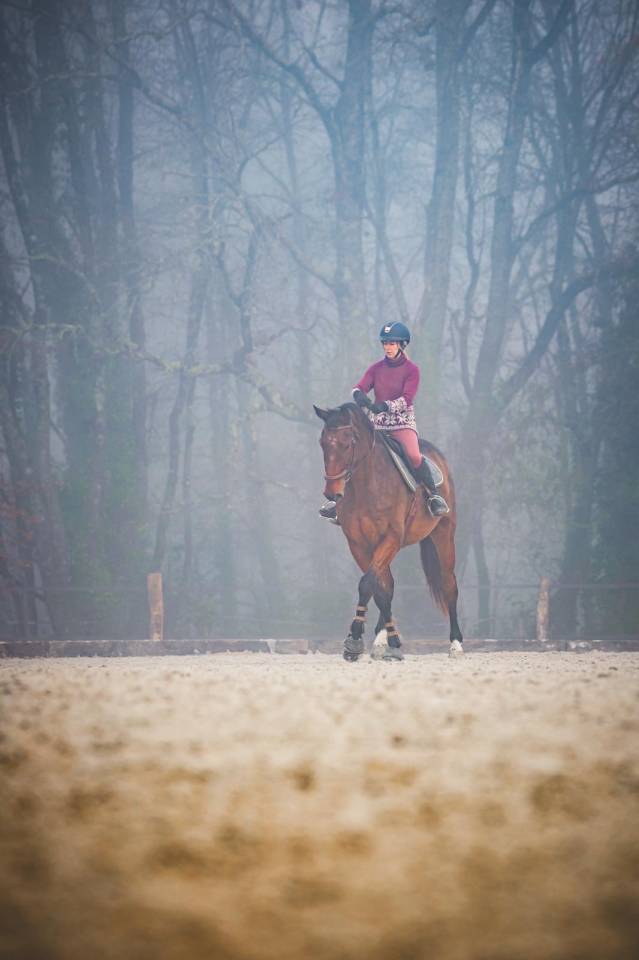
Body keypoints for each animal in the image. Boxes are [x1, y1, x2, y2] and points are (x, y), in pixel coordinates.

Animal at [314, 402, 463, 661]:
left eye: (347, 443)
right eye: (323, 443)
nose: (332, 493)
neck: (367, 485)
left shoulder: (391, 538)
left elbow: (367, 584)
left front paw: (355, 638)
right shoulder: (359, 544)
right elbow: (379, 589)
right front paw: (388, 640)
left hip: (443, 535)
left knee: (448, 584)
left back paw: (455, 644)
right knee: (388, 585)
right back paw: (381, 639)